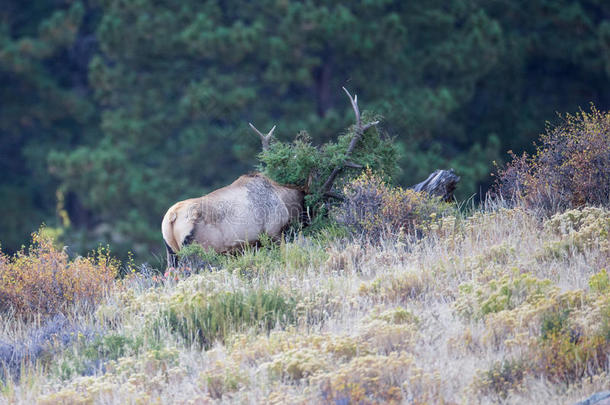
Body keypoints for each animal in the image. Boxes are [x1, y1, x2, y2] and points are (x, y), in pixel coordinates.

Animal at [160, 87, 370, 266]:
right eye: (320, 201)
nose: (326, 219)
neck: (286, 202)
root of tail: (171, 218)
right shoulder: (273, 234)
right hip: (198, 251)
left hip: (172, 255)